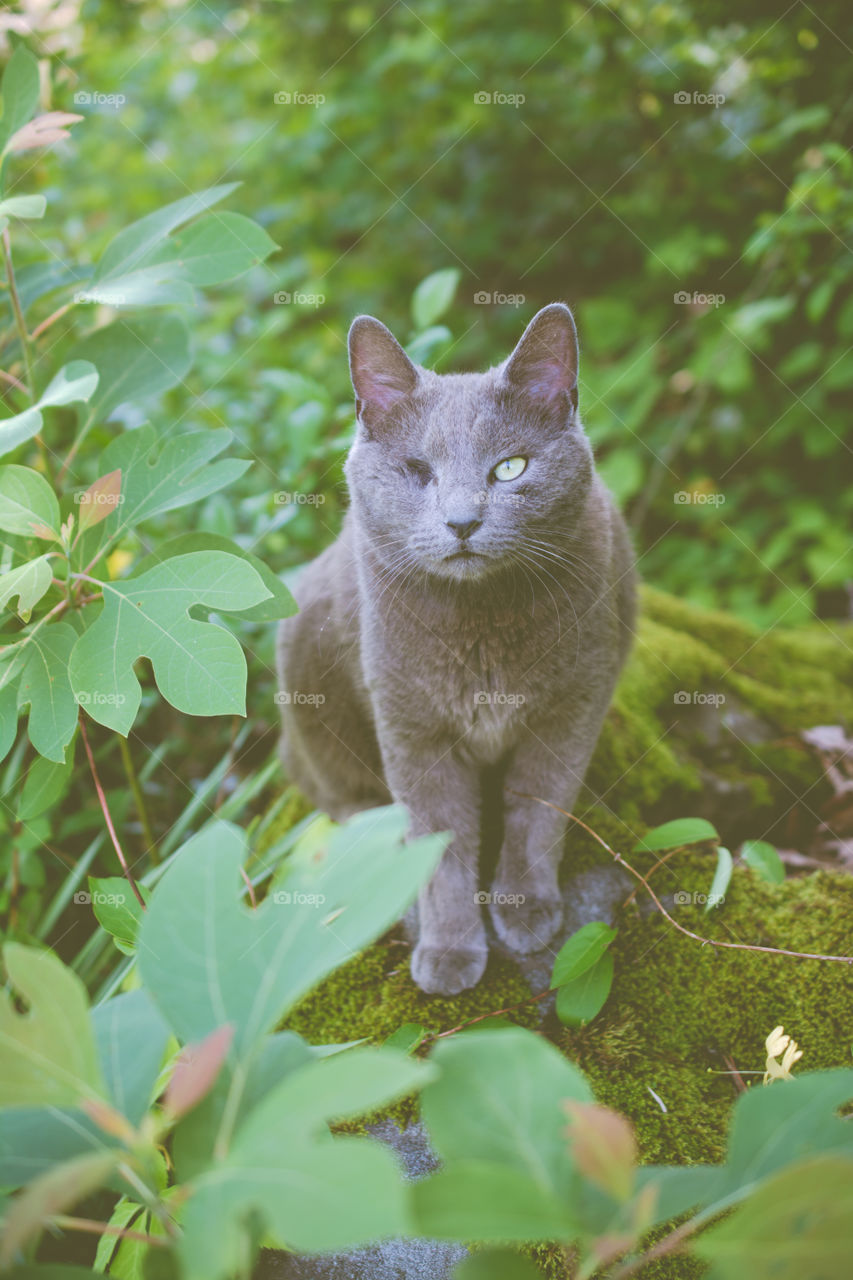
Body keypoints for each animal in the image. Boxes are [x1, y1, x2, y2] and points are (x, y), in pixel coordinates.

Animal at [275, 304, 635, 993]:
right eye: (418, 471)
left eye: (510, 467)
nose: (463, 521)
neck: (481, 625)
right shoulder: (412, 729)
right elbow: (438, 843)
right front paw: (448, 951)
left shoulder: (573, 706)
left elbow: (537, 813)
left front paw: (526, 909)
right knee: (343, 798)